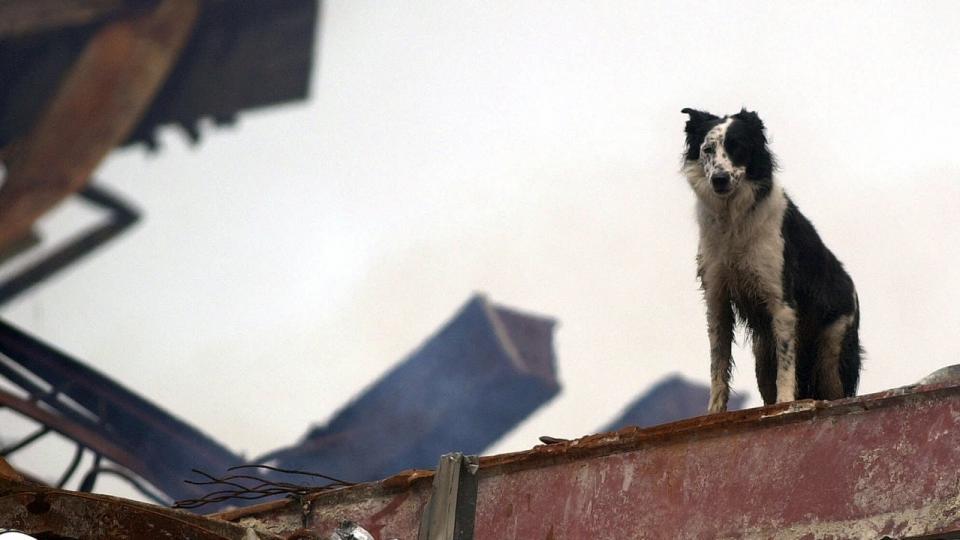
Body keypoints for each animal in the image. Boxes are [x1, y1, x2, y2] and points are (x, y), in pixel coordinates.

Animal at [684, 109, 864, 414]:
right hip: (762, 356)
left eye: (737, 147)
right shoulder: (717, 298)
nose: (719, 179)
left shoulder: (782, 302)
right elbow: (718, 363)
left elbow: (786, 366)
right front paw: (714, 411)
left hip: (832, 352)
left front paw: (786, 403)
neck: (733, 219)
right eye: (707, 150)